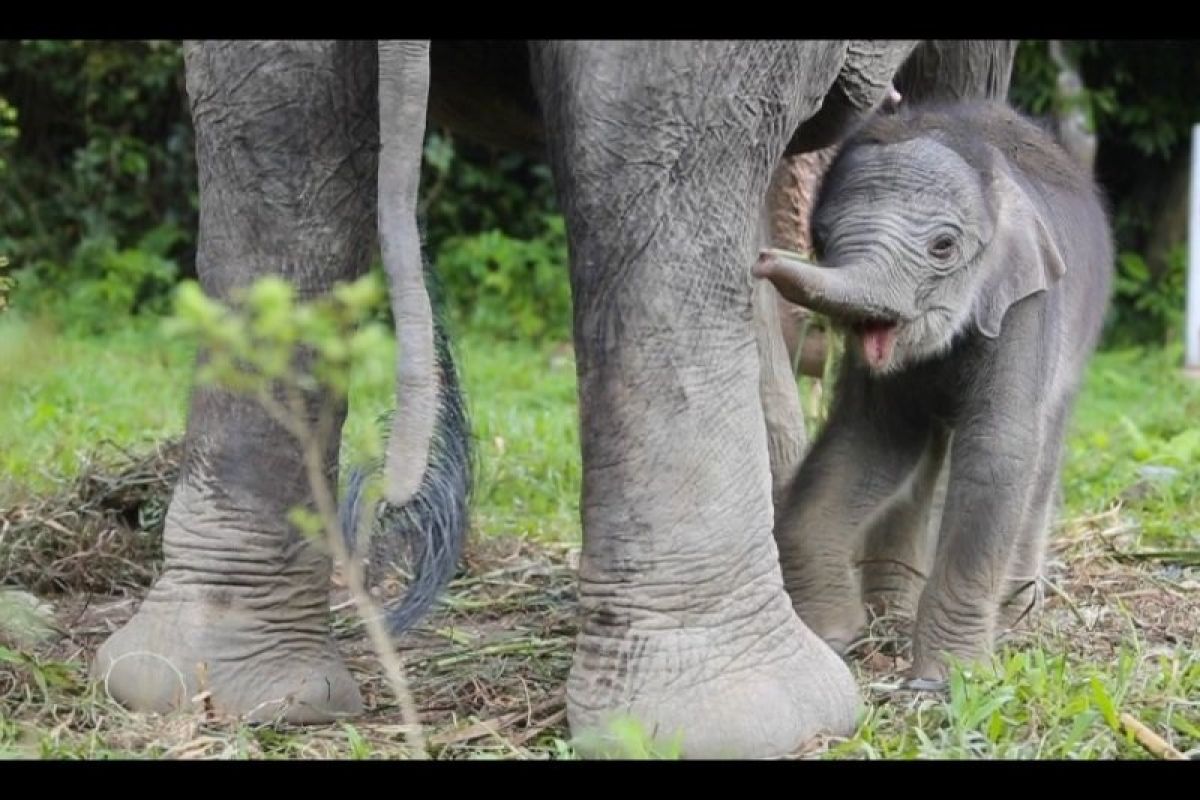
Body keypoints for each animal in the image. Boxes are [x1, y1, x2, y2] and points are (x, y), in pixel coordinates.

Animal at [753, 100, 1108, 686]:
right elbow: (872, 439)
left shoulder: (1024, 307)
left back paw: (1017, 611)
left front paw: (947, 678)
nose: (760, 259)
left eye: (943, 247)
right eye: (820, 237)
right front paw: (832, 635)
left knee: (1042, 449)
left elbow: (997, 452)